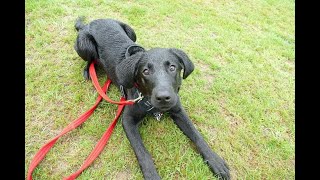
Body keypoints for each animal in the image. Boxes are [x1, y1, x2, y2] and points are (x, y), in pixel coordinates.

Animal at [74, 17, 230, 180]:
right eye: (145, 71)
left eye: (172, 67)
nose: (163, 97)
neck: (148, 100)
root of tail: (87, 24)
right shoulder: (128, 120)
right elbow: (143, 153)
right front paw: (151, 174)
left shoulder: (178, 110)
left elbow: (197, 135)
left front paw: (215, 161)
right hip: (85, 45)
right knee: (90, 60)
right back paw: (88, 71)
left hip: (131, 31)